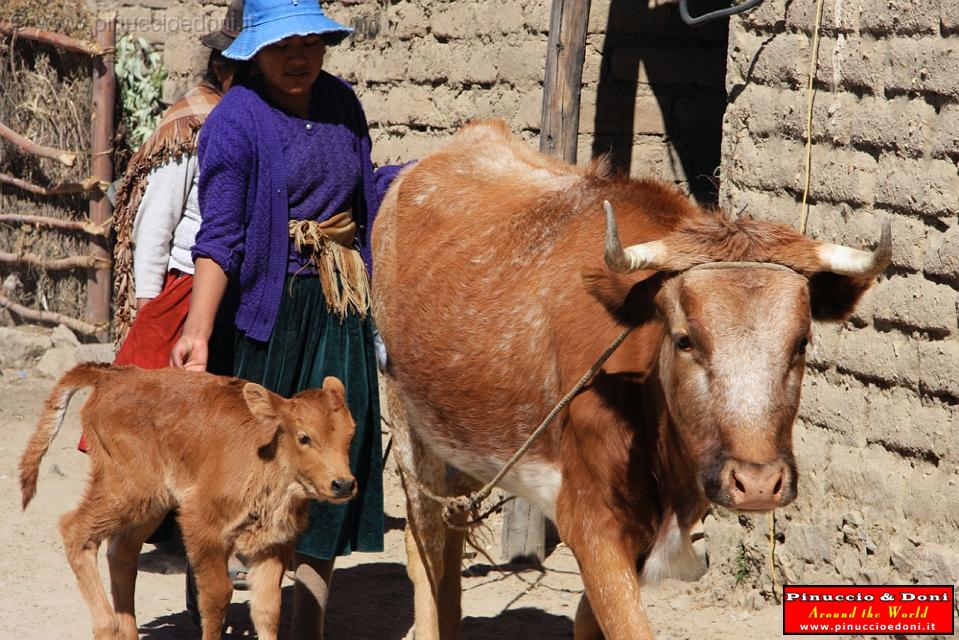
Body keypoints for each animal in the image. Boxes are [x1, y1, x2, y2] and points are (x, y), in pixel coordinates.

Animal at [18, 364, 356, 640]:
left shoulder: (273, 544)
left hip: (151, 506)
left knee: (122, 553)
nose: (343, 484)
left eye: (350, 435)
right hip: (128, 491)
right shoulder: (202, 527)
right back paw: (107, 627)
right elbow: (217, 597)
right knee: (74, 529)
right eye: (304, 437)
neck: (267, 457)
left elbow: (267, 610)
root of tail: (113, 376)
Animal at [374, 119, 892, 636]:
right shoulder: (591, 524)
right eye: (685, 340)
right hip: (407, 428)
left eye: (801, 341)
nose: (759, 483)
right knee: (426, 545)